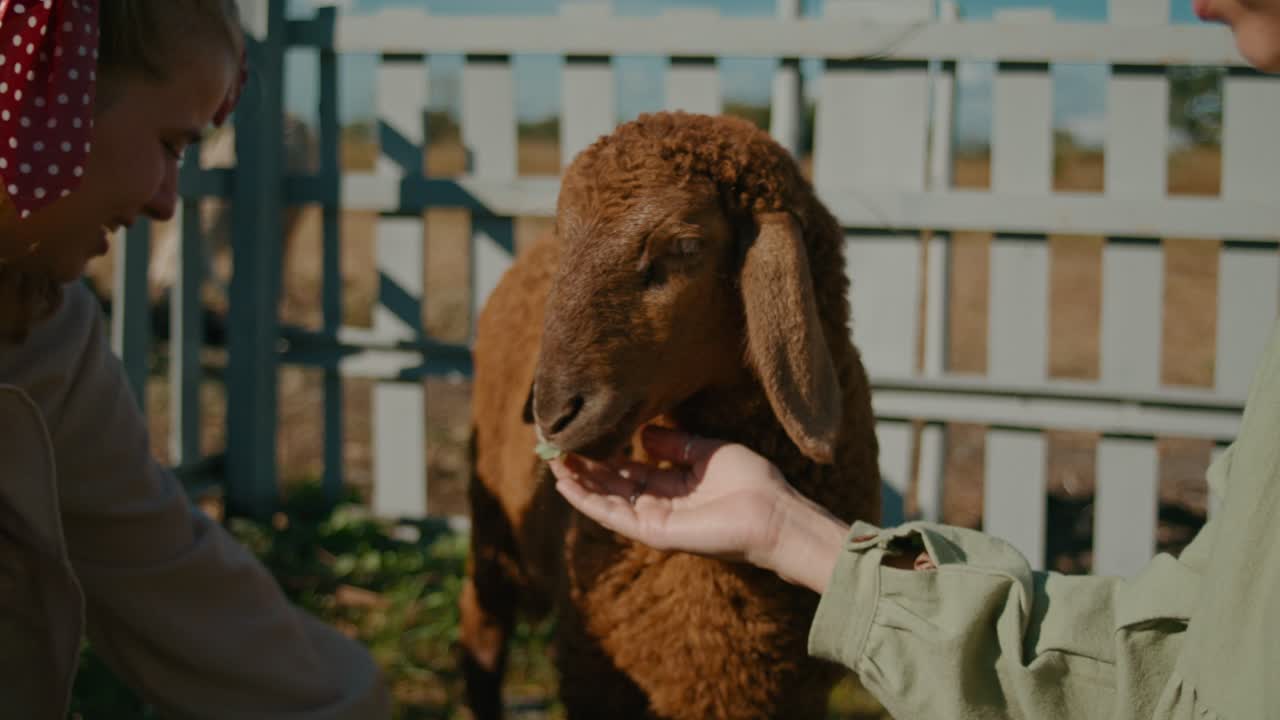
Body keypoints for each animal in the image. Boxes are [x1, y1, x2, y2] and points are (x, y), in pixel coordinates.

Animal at [460, 110, 881, 720]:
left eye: (685, 244)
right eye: (568, 236)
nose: (553, 413)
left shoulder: (787, 694)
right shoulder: (594, 673)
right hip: (493, 517)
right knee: (483, 625)